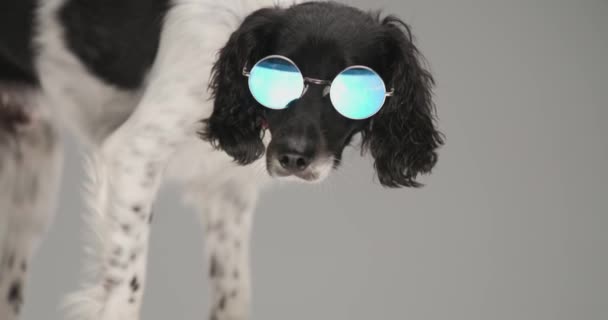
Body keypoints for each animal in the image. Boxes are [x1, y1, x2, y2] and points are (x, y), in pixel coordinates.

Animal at [0, 0, 442, 318]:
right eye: (276, 76)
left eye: (357, 88)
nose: (293, 157)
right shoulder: (132, 153)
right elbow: (126, 289)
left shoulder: (229, 197)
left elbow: (233, 292)